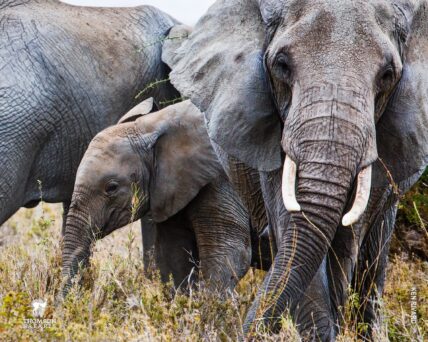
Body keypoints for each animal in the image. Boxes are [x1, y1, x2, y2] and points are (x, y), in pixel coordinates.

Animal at [61, 98, 270, 294]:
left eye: (111, 188)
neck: (151, 126)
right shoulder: (169, 190)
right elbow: (173, 258)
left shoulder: (221, 179)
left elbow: (229, 255)